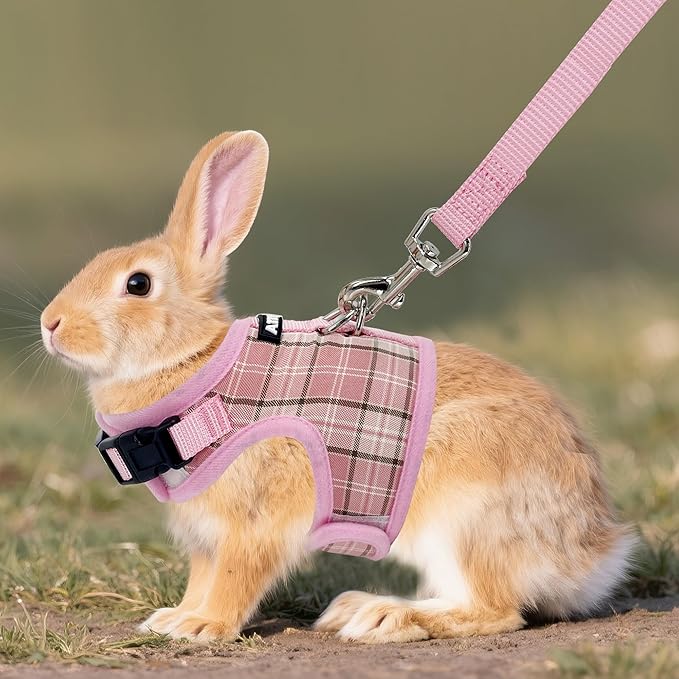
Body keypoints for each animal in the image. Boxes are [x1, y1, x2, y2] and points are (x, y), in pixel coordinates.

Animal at [40, 130, 635, 644]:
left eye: (137, 284)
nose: (51, 323)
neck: (194, 366)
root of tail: (593, 551)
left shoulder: (255, 519)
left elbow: (236, 576)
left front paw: (203, 627)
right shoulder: (205, 532)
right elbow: (201, 576)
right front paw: (174, 617)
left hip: (459, 516)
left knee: (495, 609)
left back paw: (384, 616)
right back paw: (355, 607)